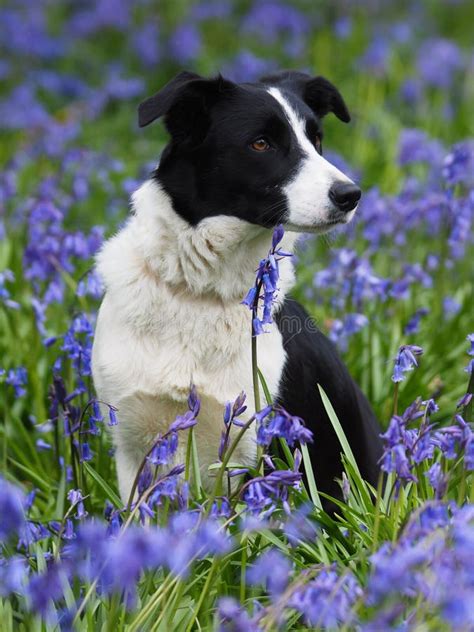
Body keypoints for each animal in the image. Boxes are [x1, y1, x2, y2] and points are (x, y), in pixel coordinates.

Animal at [90, 70, 384, 504]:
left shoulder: (260, 446)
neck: (200, 291)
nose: (351, 195)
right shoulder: (134, 447)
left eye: (316, 139)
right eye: (261, 143)